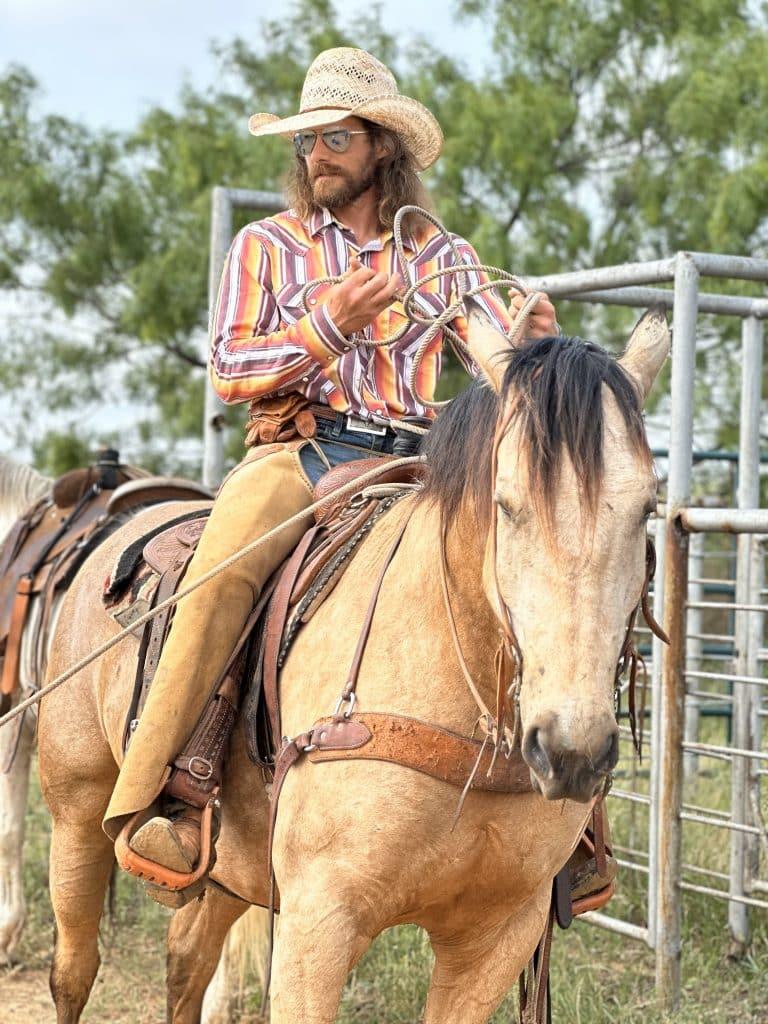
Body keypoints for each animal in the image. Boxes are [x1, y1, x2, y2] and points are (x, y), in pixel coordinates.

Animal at [36, 305, 671, 1024]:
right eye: (507, 503)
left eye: (647, 509)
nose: (571, 752)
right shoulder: (319, 925)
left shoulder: (500, 935)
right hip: (77, 809)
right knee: (74, 967)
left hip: (232, 864)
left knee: (187, 961)